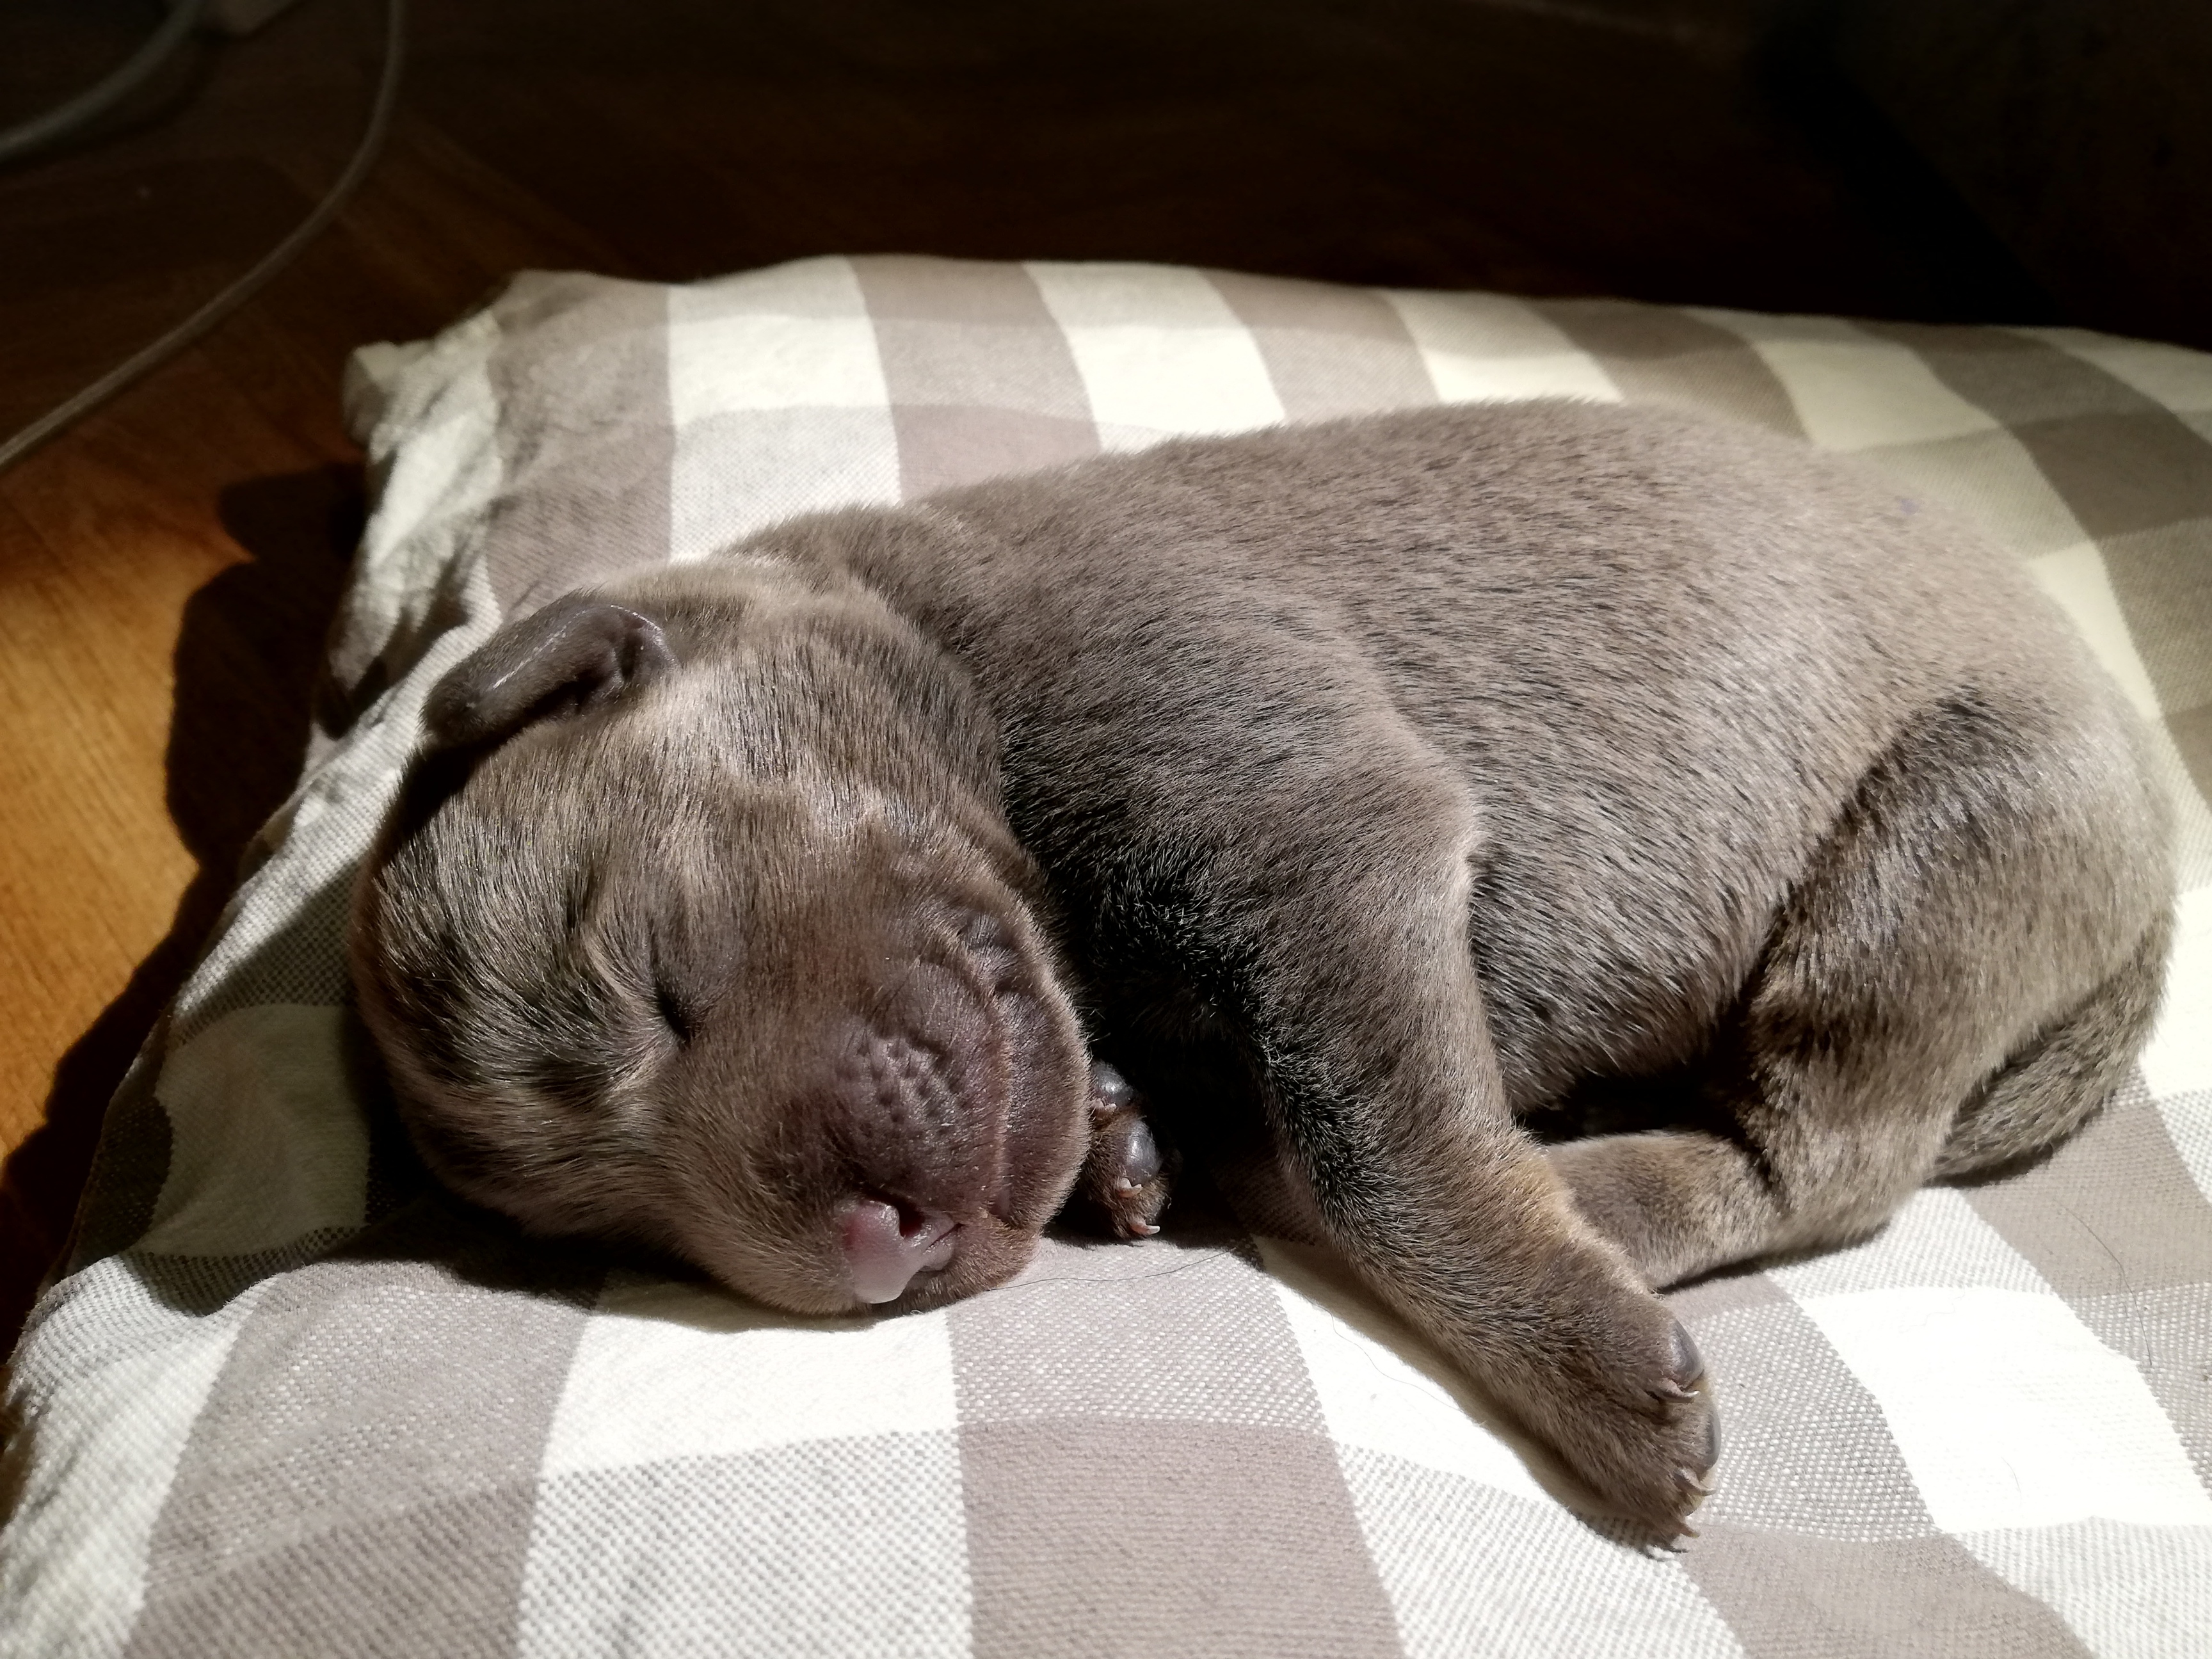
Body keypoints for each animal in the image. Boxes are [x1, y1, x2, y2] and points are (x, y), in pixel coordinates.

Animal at [350, 399, 2172, 1539]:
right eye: (623, 1230)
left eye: (658, 978)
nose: (871, 1259)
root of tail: (2153, 891)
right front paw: (1124, 1137)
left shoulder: (1304, 822)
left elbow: (1386, 1150)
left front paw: (1576, 1351)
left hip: (1944, 841)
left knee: (1832, 1155)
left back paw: (1599, 1190)